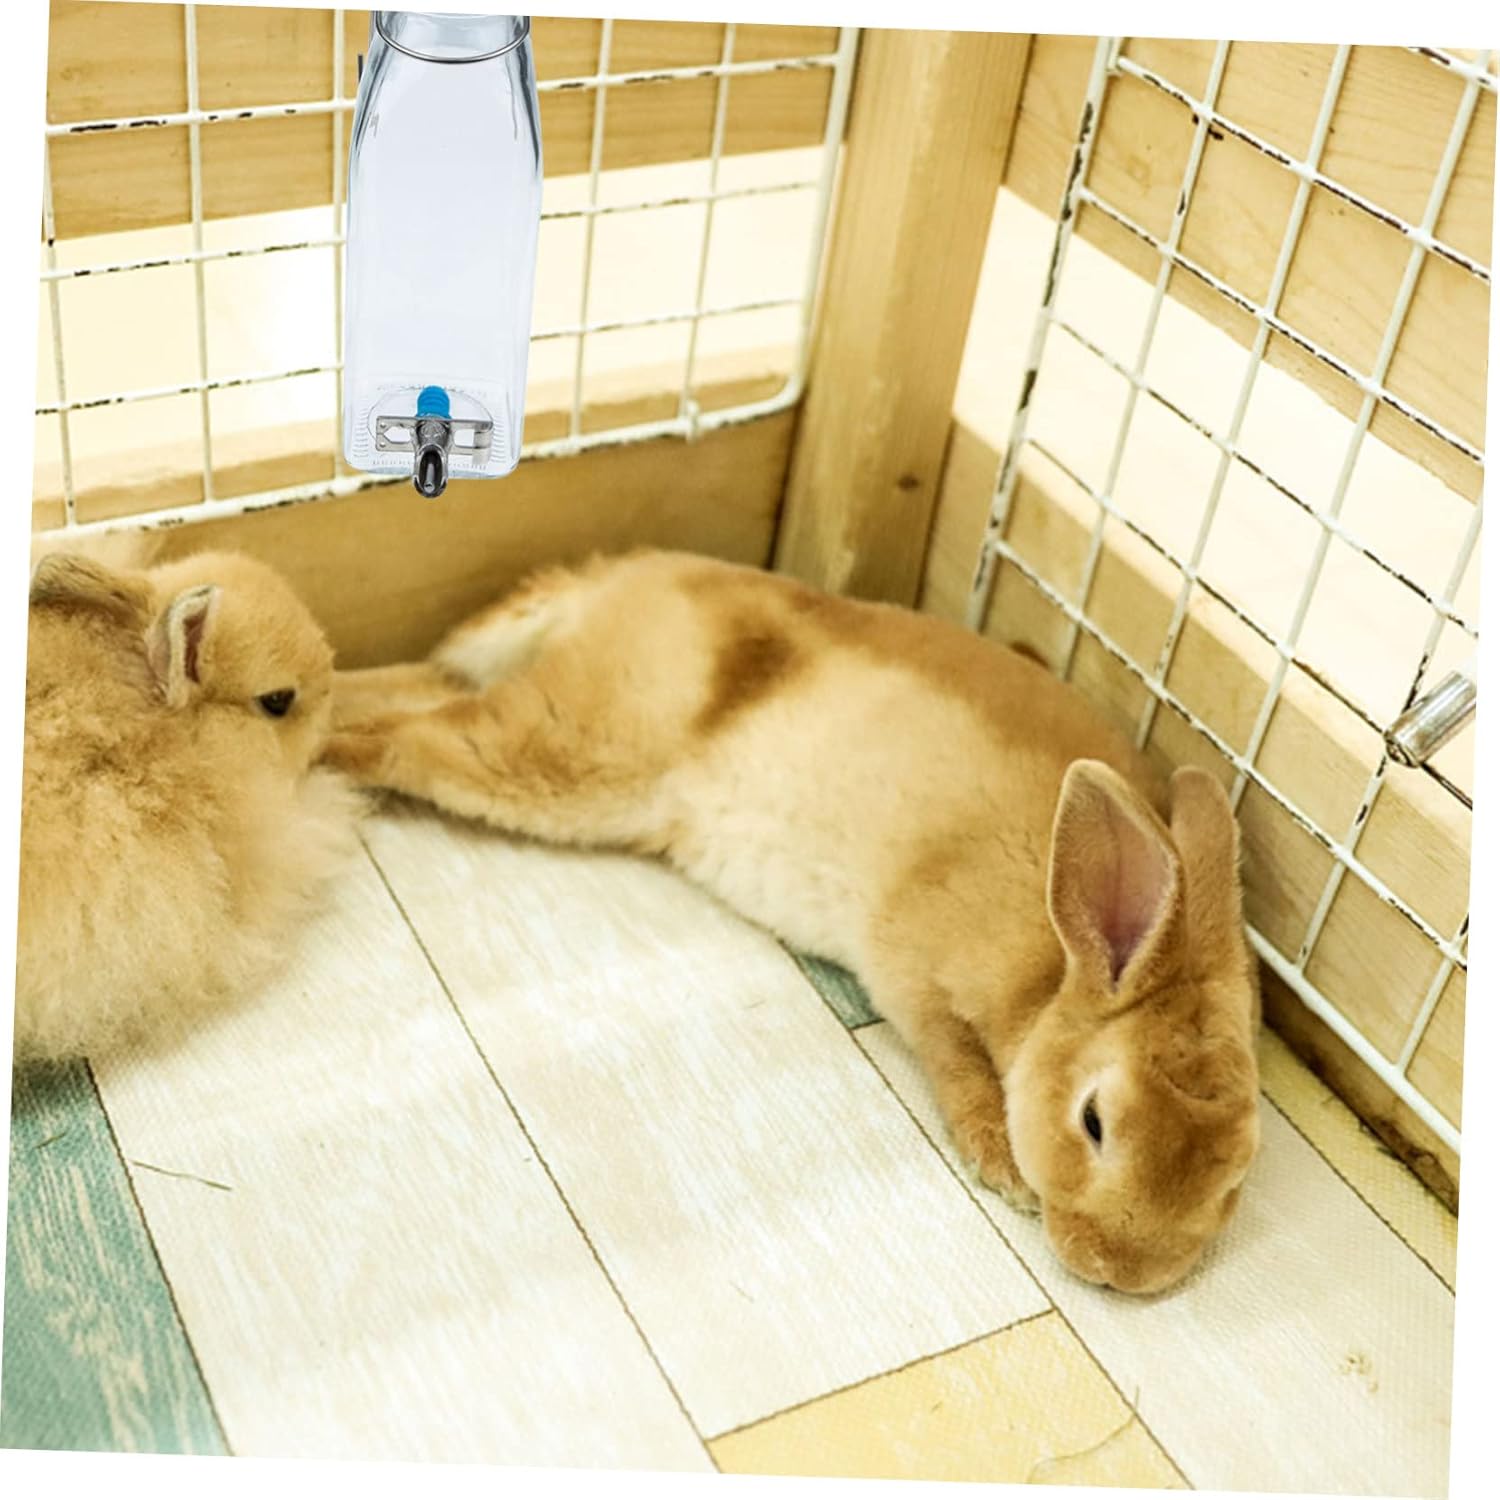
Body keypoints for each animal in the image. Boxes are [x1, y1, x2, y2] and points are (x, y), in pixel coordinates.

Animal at [326, 548, 1263, 1295]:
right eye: (1094, 1122)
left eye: (1236, 1170)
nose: (1124, 1274)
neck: (1057, 970)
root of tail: (619, 580)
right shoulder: (917, 981)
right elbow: (957, 1068)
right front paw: (1003, 1165)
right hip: (570, 752)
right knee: (406, 734)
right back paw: (315, 750)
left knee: (415, 686)